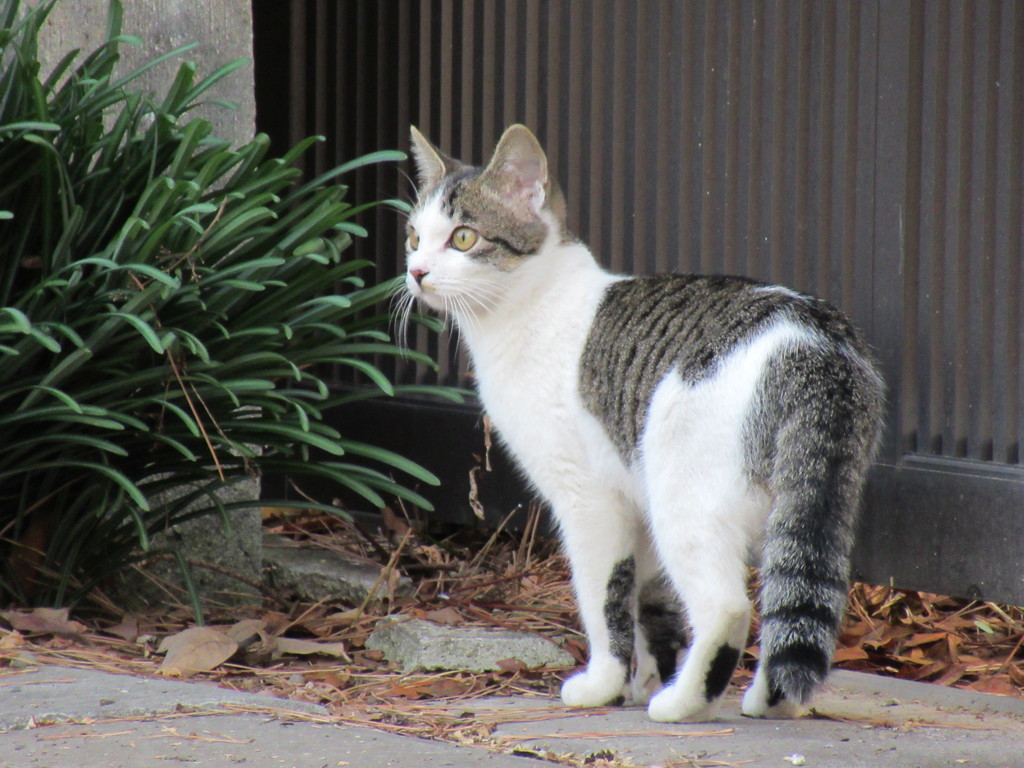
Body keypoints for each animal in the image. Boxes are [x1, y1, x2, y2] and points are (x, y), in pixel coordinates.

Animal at [403, 123, 884, 724]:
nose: (415, 272)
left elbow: (605, 600)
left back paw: (683, 703)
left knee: (727, 606)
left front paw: (604, 685)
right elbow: (649, 606)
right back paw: (767, 701)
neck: (530, 308)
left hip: (684, 497)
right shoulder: (635, 499)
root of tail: (815, 341)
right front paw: (643, 679)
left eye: (463, 239)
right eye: (413, 237)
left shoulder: (589, 501)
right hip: (810, 499)